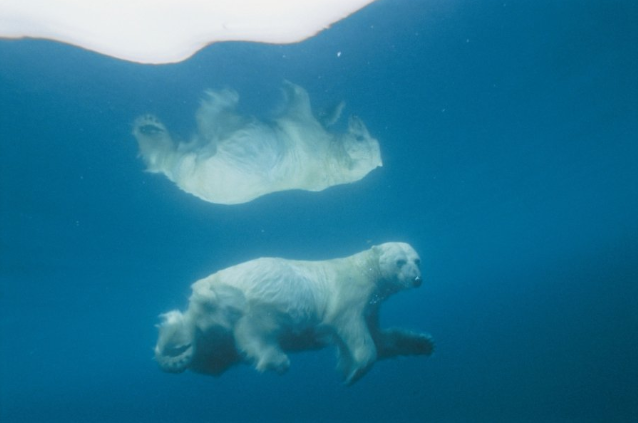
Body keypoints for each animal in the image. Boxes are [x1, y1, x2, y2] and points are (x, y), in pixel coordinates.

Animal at [132, 81, 382, 205]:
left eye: (360, 137)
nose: (356, 118)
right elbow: (319, 115)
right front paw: (335, 108)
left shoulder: (306, 136)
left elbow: (300, 104)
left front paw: (290, 88)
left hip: (220, 164)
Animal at [155, 242, 436, 384]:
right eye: (400, 262)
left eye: (417, 260)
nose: (417, 279)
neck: (364, 268)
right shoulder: (351, 293)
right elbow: (352, 329)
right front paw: (352, 372)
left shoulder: (372, 305)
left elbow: (382, 337)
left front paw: (423, 342)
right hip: (254, 299)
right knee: (254, 330)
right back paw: (276, 359)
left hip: (213, 332)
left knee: (209, 357)